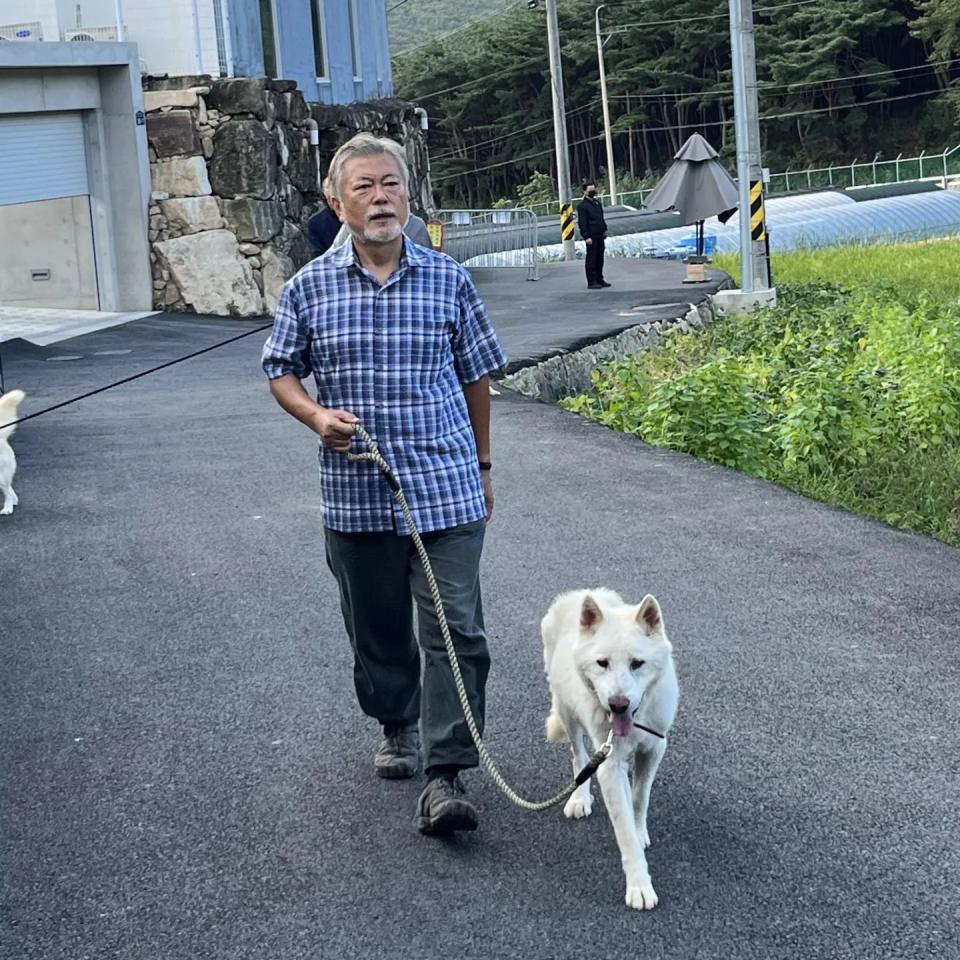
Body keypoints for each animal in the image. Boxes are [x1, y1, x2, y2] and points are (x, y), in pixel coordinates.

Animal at [544, 588, 680, 912]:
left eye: (637, 663)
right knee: (579, 758)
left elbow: (640, 799)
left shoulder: (654, 748)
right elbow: (624, 831)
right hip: (568, 714)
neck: (636, 717)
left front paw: (640, 831)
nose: (618, 704)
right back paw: (579, 798)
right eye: (602, 663)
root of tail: (578, 593)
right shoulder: (609, 765)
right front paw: (639, 885)